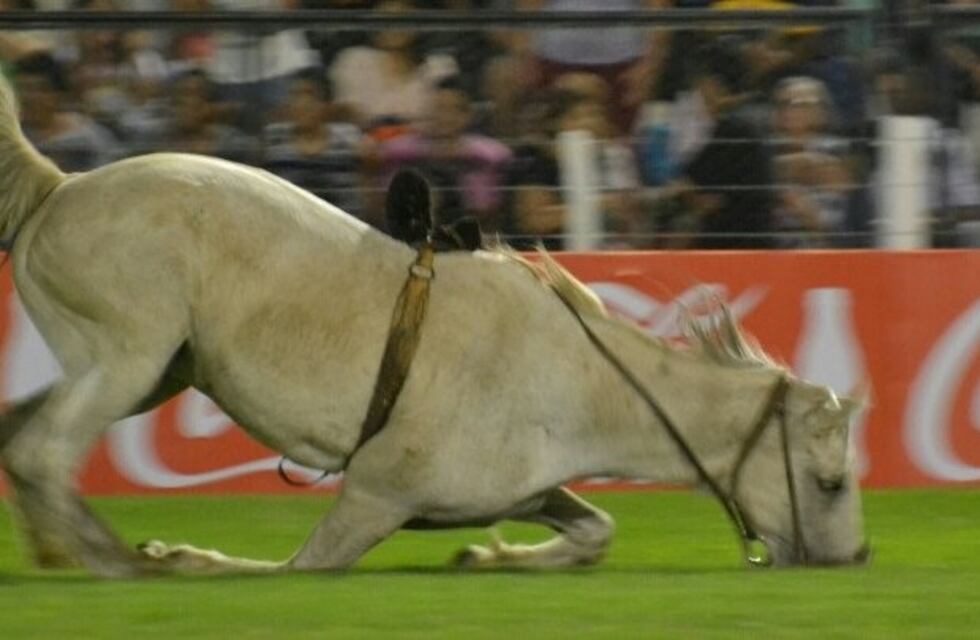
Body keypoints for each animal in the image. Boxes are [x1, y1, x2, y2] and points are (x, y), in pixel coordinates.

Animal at [0, 75, 868, 577]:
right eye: (830, 482)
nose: (858, 554)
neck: (579, 379)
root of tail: (58, 187)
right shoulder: (373, 494)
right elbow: (293, 570)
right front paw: (180, 555)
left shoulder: (523, 489)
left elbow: (596, 529)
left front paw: (486, 556)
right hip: (128, 360)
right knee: (45, 453)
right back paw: (114, 559)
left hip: (152, 370)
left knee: (19, 436)